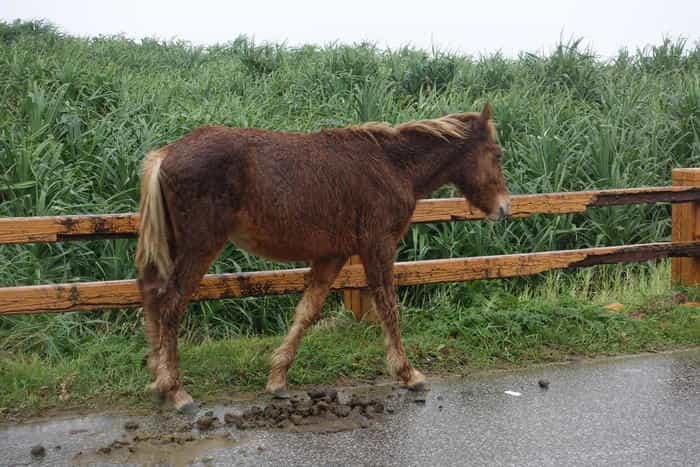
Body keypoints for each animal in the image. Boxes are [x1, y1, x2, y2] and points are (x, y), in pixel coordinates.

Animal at [135, 103, 508, 414]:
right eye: (497, 154)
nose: (505, 208)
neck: (392, 165)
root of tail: (165, 154)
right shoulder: (378, 245)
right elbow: (388, 306)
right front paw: (408, 373)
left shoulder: (333, 254)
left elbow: (307, 311)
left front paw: (277, 378)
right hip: (200, 245)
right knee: (170, 303)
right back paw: (176, 390)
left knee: (150, 294)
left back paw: (157, 378)